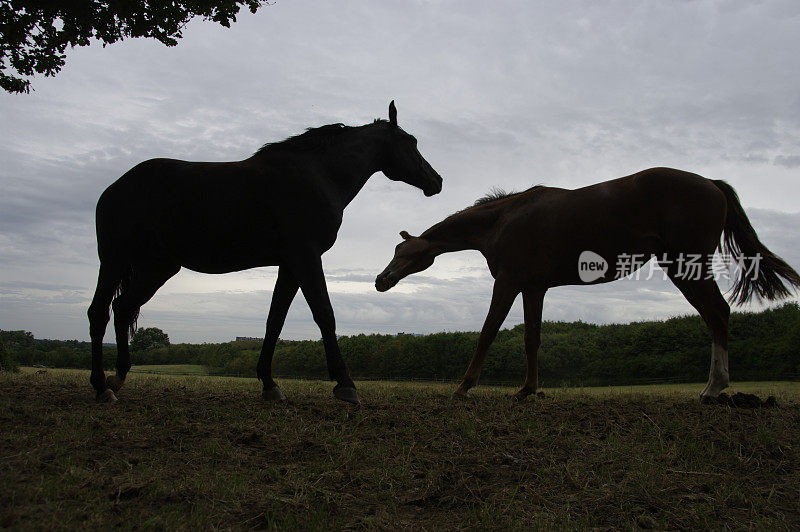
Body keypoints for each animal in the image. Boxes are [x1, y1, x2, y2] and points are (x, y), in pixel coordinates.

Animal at [87, 103, 444, 404]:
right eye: (411, 141)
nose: (437, 180)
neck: (319, 175)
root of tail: (115, 186)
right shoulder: (306, 256)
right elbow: (324, 314)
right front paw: (345, 385)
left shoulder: (289, 264)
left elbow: (275, 321)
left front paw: (269, 384)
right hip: (114, 259)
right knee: (99, 313)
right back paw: (101, 387)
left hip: (157, 267)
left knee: (122, 308)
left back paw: (118, 377)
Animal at [376, 168, 800, 402]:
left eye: (403, 251)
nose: (381, 280)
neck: (503, 220)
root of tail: (711, 184)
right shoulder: (534, 288)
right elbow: (532, 338)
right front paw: (527, 390)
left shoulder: (509, 283)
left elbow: (487, 333)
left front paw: (463, 387)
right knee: (716, 315)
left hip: (686, 265)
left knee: (717, 313)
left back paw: (714, 388)